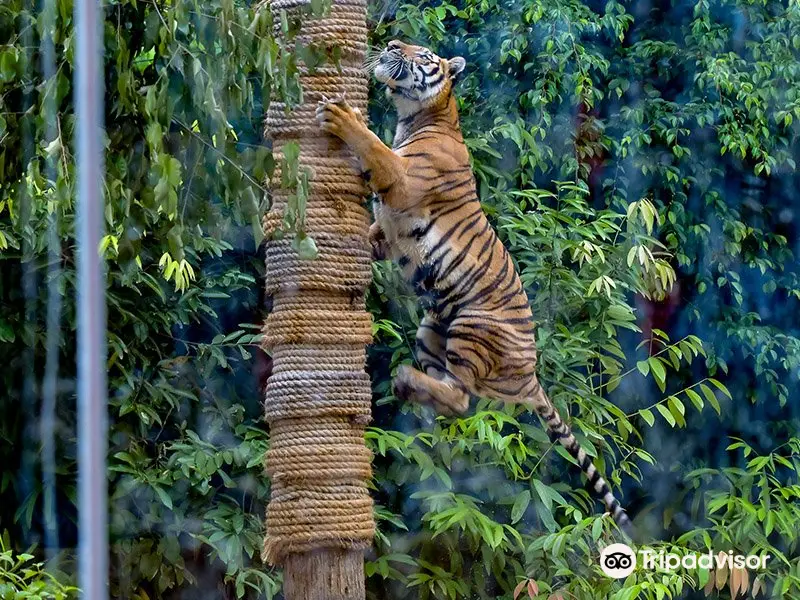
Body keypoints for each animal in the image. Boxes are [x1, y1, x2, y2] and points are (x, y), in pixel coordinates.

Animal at [316, 38, 636, 536]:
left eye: (422, 52)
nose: (392, 43)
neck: (416, 115)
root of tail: (531, 376)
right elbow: (374, 233)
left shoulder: (401, 178)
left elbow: (372, 146)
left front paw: (341, 116)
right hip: (432, 328)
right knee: (452, 397)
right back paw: (407, 386)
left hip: (471, 326)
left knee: (461, 397)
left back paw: (404, 380)